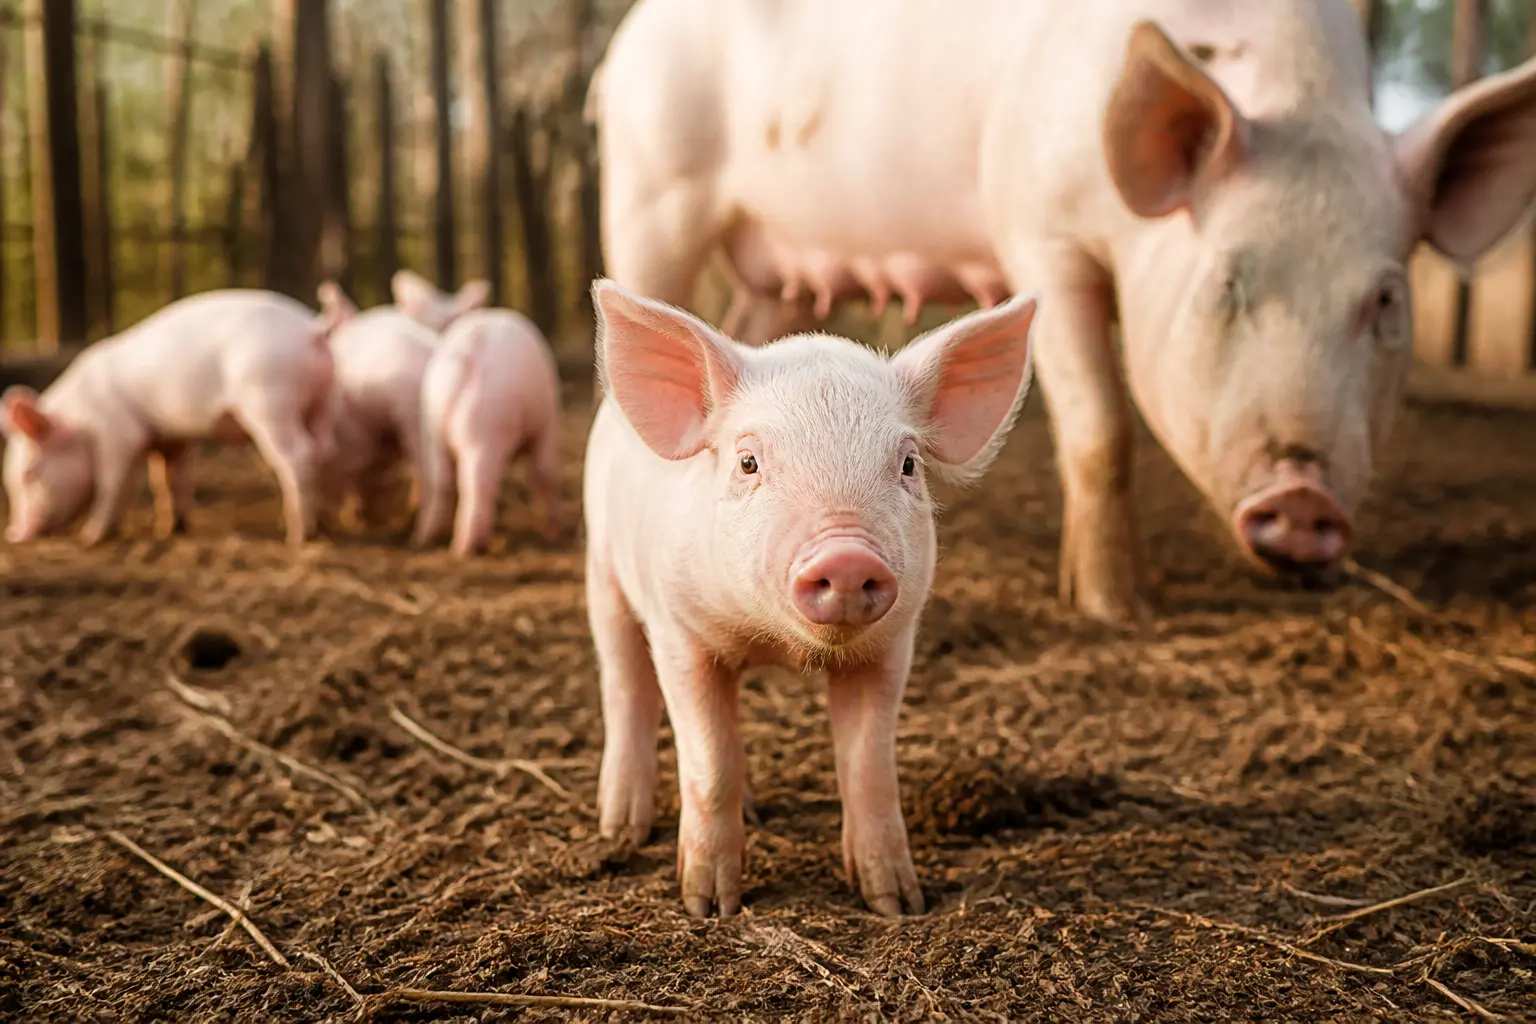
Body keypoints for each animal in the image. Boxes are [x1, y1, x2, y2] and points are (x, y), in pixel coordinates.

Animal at [0, 289, 345, 548]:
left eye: (29, 473)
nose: (14, 533)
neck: (81, 421)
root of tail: (312, 330)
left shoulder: (119, 432)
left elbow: (112, 482)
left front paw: (90, 537)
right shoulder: (169, 437)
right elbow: (166, 479)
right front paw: (172, 530)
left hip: (269, 401)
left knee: (298, 454)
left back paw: (298, 535)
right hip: (323, 401)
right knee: (325, 450)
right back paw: (321, 525)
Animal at [413, 307, 564, 556]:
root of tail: (469, 354)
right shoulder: (547, 426)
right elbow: (543, 472)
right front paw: (553, 532)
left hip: (434, 425)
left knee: (442, 479)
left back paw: (426, 538)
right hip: (485, 423)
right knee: (477, 481)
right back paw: (466, 548)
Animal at [585, 278, 1038, 917]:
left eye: (908, 462)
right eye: (748, 461)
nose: (846, 557)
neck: (782, 647)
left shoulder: (891, 647)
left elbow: (868, 767)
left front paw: (898, 904)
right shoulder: (681, 633)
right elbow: (710, 761)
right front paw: (709, 907)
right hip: (602, 570)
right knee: (624, 683)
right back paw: (619, 829)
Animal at [590, 0, 1536, 622]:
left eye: (1386, 300)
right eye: (1227, 284)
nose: (1304, 501)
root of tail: (621, 48)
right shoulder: (1040, 234)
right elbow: (1100, 427)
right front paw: (1117, 610)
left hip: (772, 276)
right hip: (648, 188)